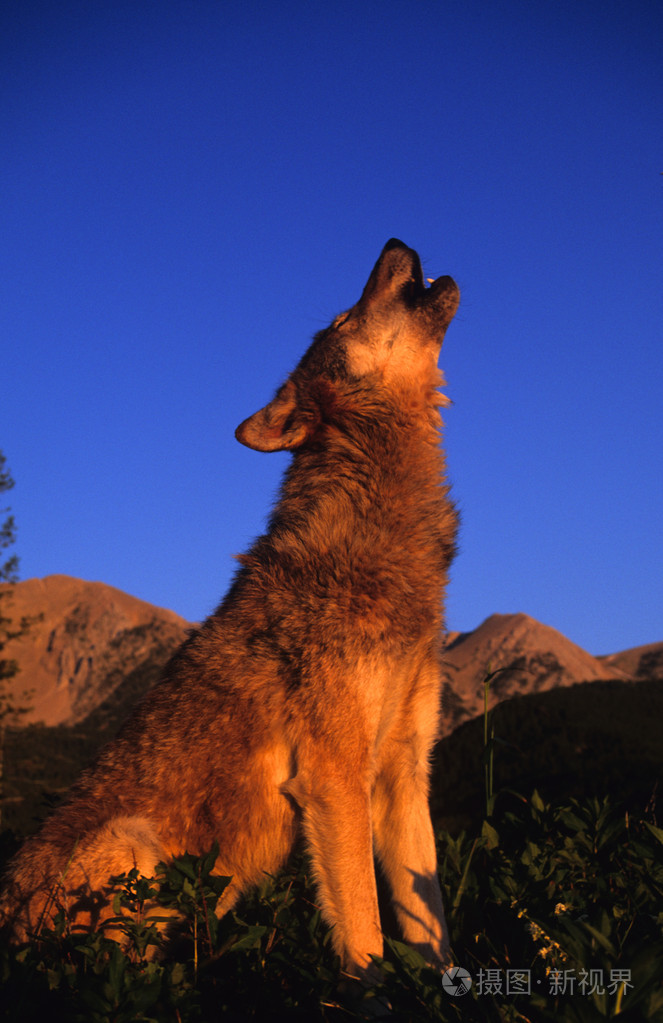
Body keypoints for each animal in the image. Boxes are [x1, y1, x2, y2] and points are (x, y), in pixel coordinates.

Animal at [1, 239, 460, 982]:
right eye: (342, 318)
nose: (395, 243)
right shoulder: (334, 779)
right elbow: (365, 942)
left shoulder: (403, 778)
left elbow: (433, 932)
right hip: (134, 847)